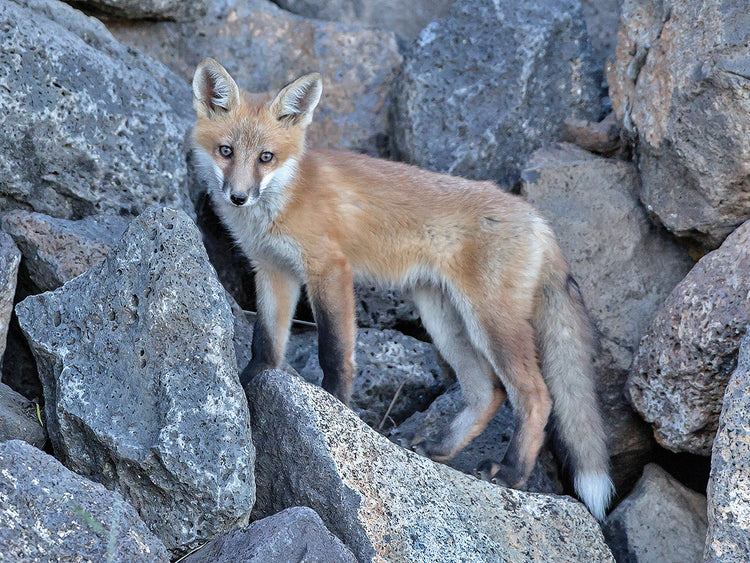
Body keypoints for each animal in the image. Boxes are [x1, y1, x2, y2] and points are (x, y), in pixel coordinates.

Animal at [191, 58, 615, 520]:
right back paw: (441, 447)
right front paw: (247, 386)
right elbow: (266, 344)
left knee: (535, 395)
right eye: (226, 151)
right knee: (487, 392)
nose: (238, 197)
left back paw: (512, 473)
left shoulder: (329, 269)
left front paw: (333, 407)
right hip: (442, 318)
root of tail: (536, 217)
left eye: (266, 157)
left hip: (490, 321)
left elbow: (335, 353)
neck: (284, 199)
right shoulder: (272, 270)